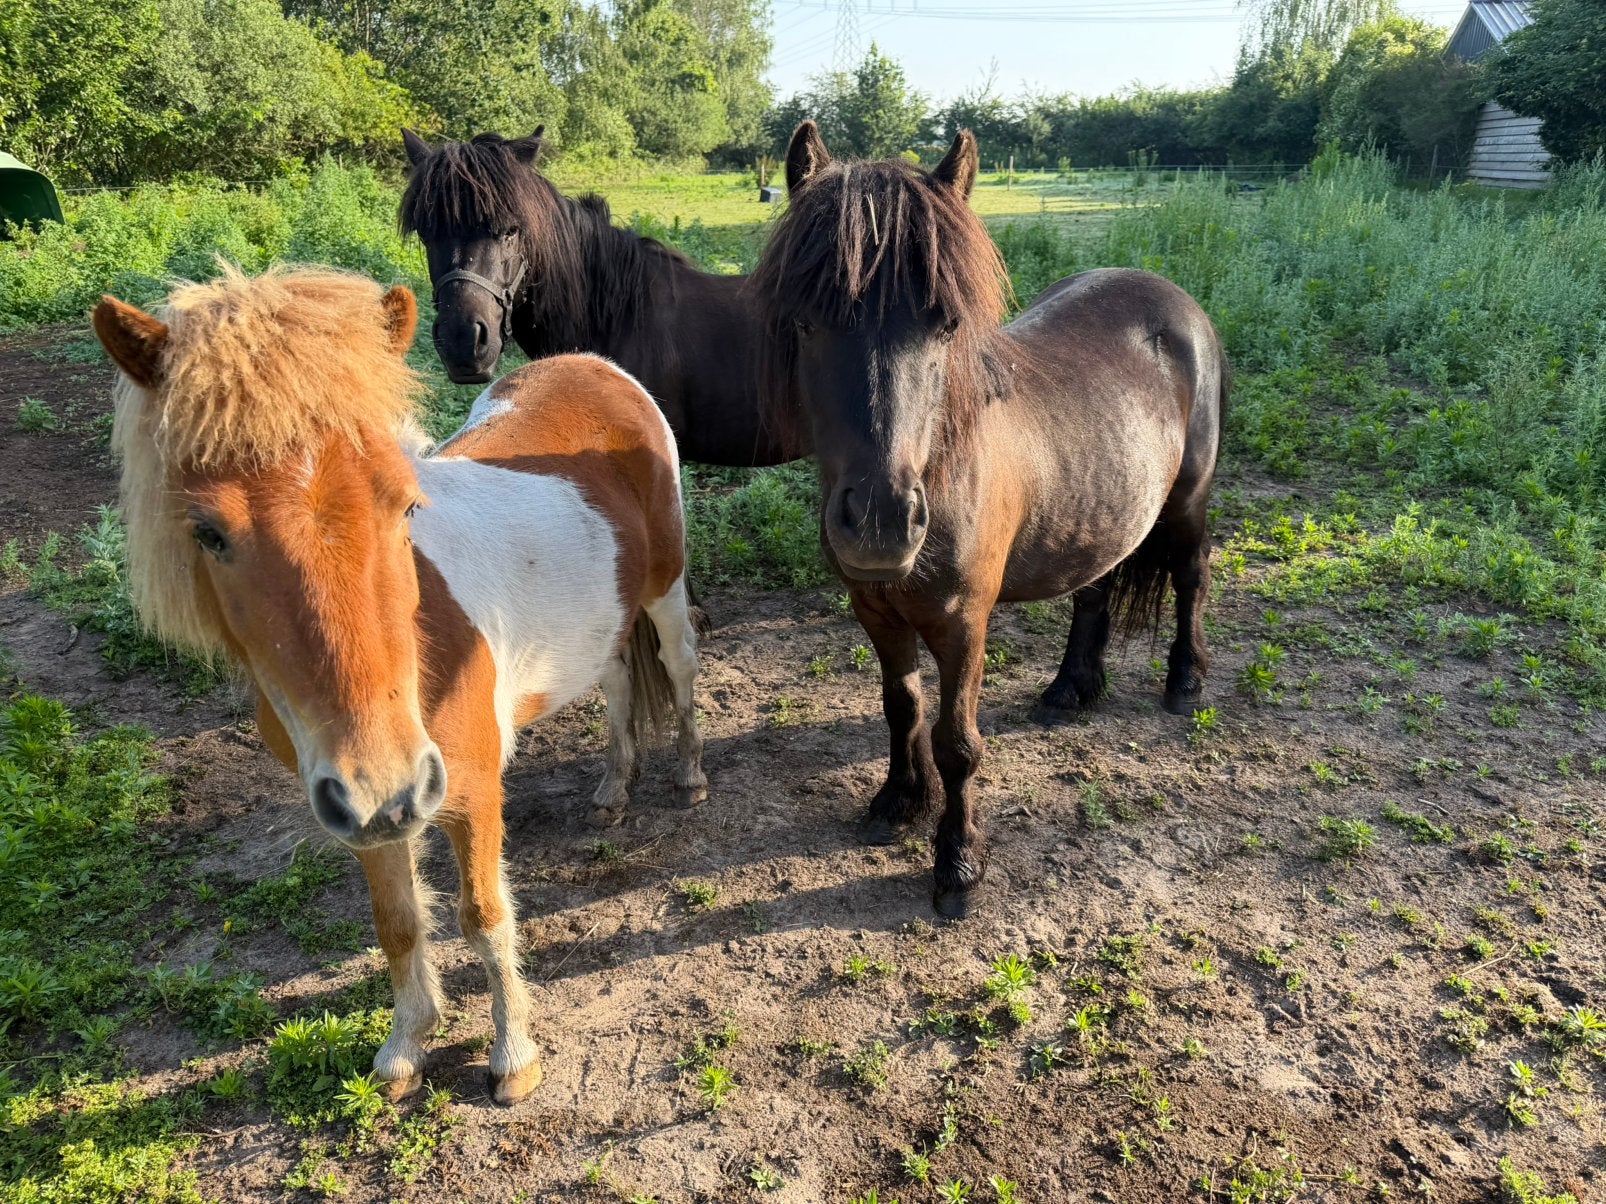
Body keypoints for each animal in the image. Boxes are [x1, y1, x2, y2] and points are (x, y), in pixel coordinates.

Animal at [92, 266, 707, 1104]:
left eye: (405, 503)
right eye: (208, 533)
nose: (383, 779)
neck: (418, 655)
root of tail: (593, 366)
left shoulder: (468, 792)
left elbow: (484, 917)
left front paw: (514, 1059)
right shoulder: (364, 812)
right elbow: (399, 924)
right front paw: (407, 1047)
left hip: (665, 593)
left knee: (678, 670)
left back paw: (690, 776)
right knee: (614, 681)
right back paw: (614, 789)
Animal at [751, 122, 1227, 919]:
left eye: (946, 322)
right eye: (807, 321)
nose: (880, 523)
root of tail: (1171, 298)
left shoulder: (964, 622)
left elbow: (958, 742)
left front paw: (958, 863)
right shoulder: (875, 610)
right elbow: (902, 707)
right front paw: (899, 802)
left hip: (1187, 502)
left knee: (1191, 576)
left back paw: (1185, 682)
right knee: (1094, 588)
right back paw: (1069, 690)